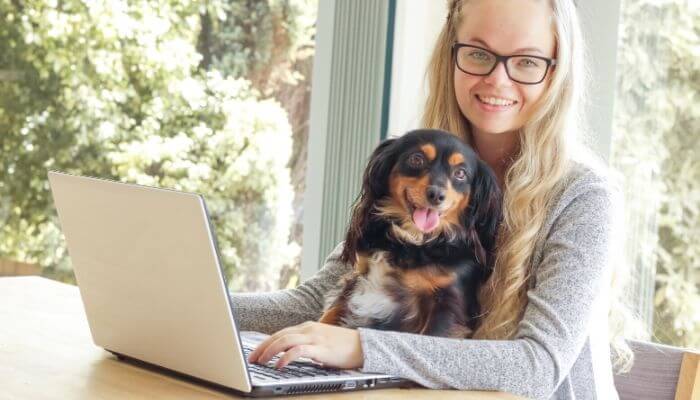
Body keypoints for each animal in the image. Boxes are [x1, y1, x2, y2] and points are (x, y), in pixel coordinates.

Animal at [318, 128, 504, 338]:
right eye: (417, 159)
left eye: (460, 173)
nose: (436, 195)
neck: (413, 240)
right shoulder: (357, 278)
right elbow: (329, 315)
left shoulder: (448, 304)